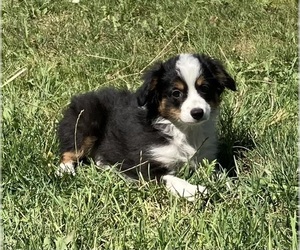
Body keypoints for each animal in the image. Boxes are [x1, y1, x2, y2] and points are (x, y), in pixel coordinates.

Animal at [56, 52, 237, 201]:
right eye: (176, 93)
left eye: (204, 88)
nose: (198, 112)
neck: (184, 131)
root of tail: (83, 96)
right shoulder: (147, 164)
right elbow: (171, 178)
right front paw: (194, 190)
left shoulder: (205, 158)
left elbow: (219, 173)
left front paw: (229, 185)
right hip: (87, 121)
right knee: (69, 152)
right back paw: (66, 172)